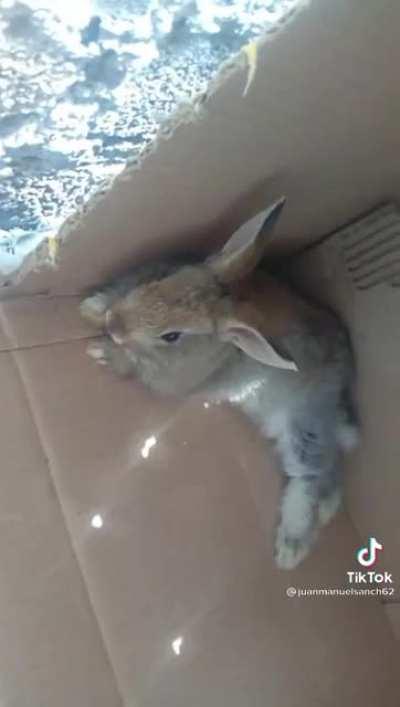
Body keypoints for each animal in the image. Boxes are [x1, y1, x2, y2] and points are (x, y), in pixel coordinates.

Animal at [80, 197, 359, 570]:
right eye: (161, 279)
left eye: (172, 336)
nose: (115, 325)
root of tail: (342, 386)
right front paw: (92, 308)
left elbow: (129, 367)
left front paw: (100, 349)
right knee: (332, 467)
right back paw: (327, 511)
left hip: (304, 426)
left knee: (310, 475)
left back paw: (291, 548)